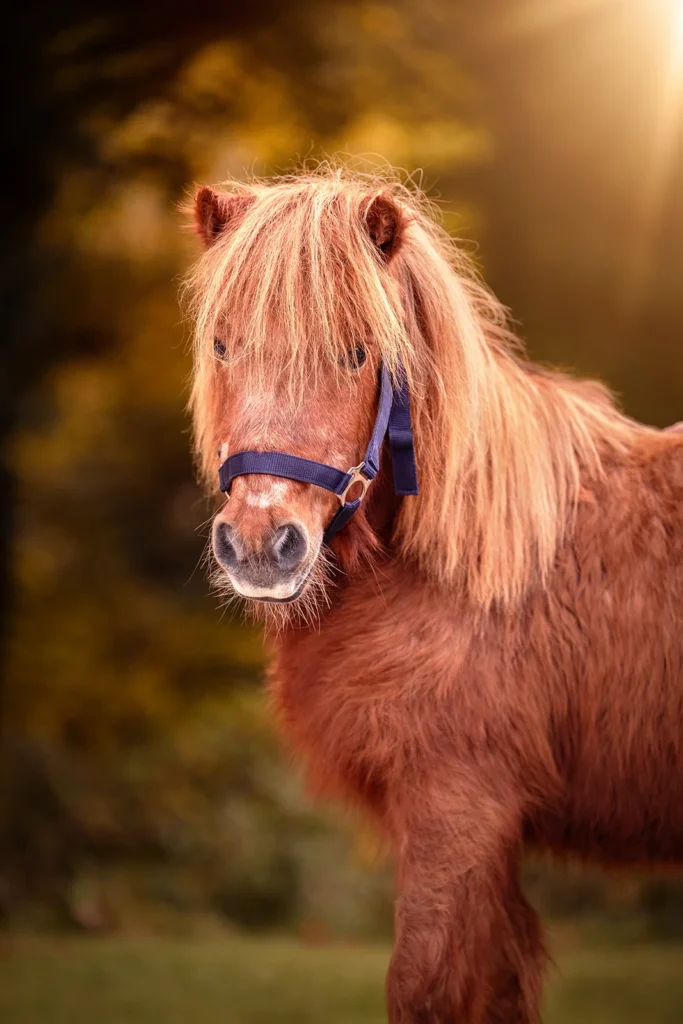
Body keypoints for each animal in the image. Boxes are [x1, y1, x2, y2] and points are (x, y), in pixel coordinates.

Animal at [184, 166, 683, 1024]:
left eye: (357, 352)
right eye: (223, 343)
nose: (259, 544)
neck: (473, 568)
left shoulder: (456, 811)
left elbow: (423, 989)